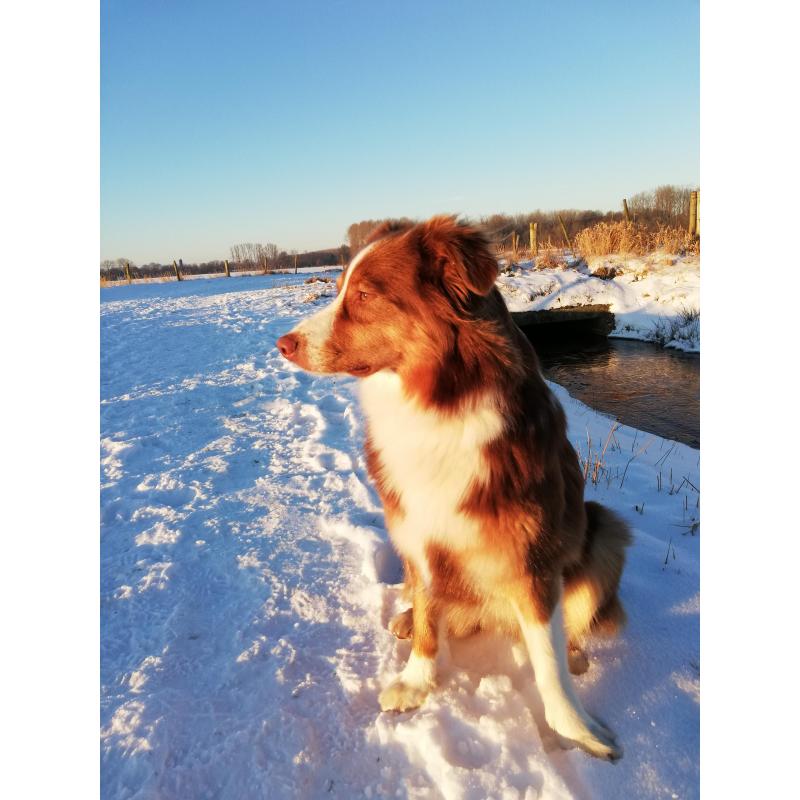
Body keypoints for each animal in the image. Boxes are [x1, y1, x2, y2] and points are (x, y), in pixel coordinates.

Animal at [276, 216, 632, 760]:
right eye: (337, 290)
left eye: (363, 295)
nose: (283, 343)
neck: (434, 404)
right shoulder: (417, 532)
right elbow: (428, 617)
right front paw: (416, 681)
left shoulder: (533, 554)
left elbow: (547, 661)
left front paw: (575, 729)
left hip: (606, 527)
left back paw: (574, 657)